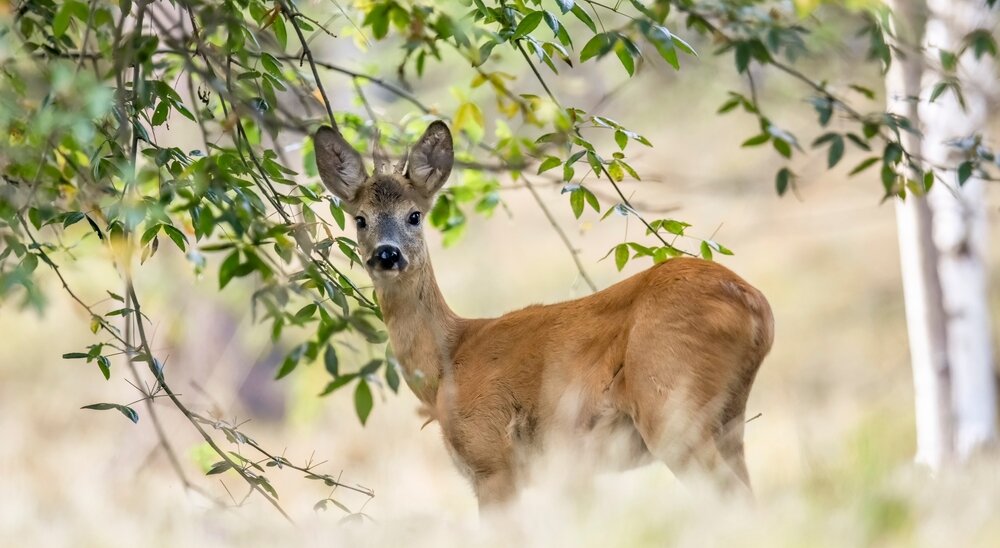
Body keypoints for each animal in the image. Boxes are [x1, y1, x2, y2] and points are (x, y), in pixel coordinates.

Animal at [312, 120, 772, 510]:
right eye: (360, 219)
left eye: (414, 215)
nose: (387, 255)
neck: (447, 362)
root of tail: (757, 308)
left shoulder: (491, 459)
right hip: (728, 420)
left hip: (672, 404)